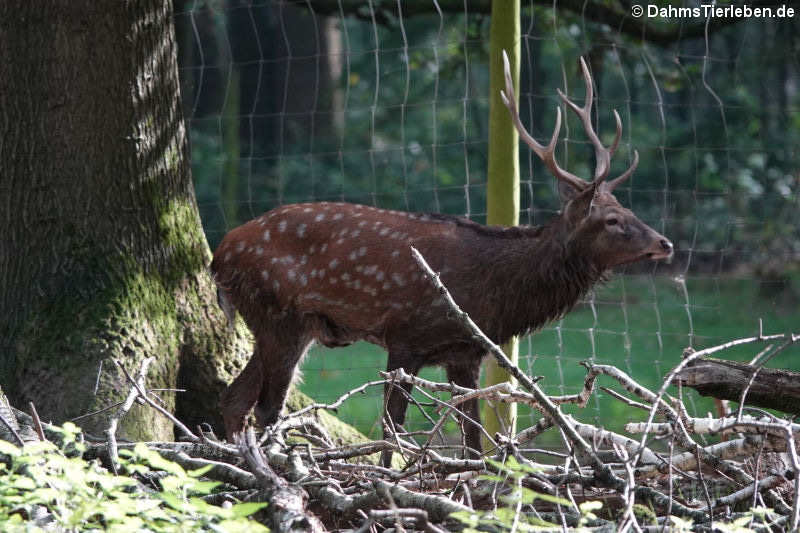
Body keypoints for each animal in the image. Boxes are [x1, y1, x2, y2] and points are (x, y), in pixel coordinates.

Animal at [209, 55, 672, 462]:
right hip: (277, 314)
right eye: (612, 220)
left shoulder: (464, 353)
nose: (665, 243)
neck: (492, 295)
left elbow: (473, 439)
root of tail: (219, 256)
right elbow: (391, 430)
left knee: (234, 397)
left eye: (627, 209)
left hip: (289, 324)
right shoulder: (405, 336)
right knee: (267, 407)